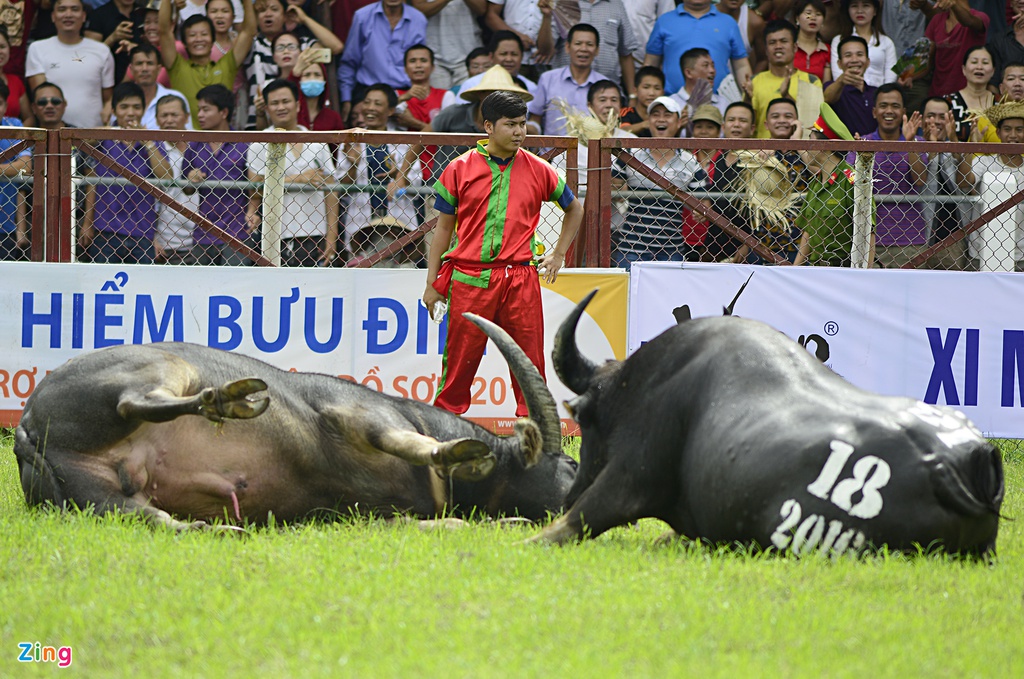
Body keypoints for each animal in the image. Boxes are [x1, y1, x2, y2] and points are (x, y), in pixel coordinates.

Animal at [14, 321, 577, 532]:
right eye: (571, 465)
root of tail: (26, 423)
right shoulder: (359, 416)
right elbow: (409, 442)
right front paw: (458, 453)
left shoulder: (367, 516)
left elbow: (450, 524)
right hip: (160, 371)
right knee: (136, 402)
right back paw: (229, 400)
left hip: (104, 498)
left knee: (152, 518)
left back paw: (213, 528)